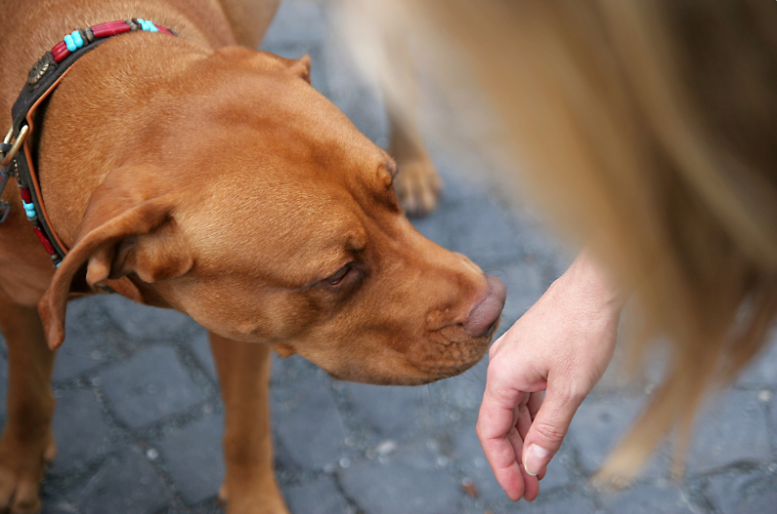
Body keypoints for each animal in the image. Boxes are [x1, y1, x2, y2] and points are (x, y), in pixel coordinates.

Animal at [0, 2, 504, 510]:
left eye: (391, 188)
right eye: (338, 274)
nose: (496, 305)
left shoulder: (244, 334)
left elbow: (247, 427)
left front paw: (252, 499)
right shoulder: (19, 302)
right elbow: (28, 393)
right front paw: (19, 466)